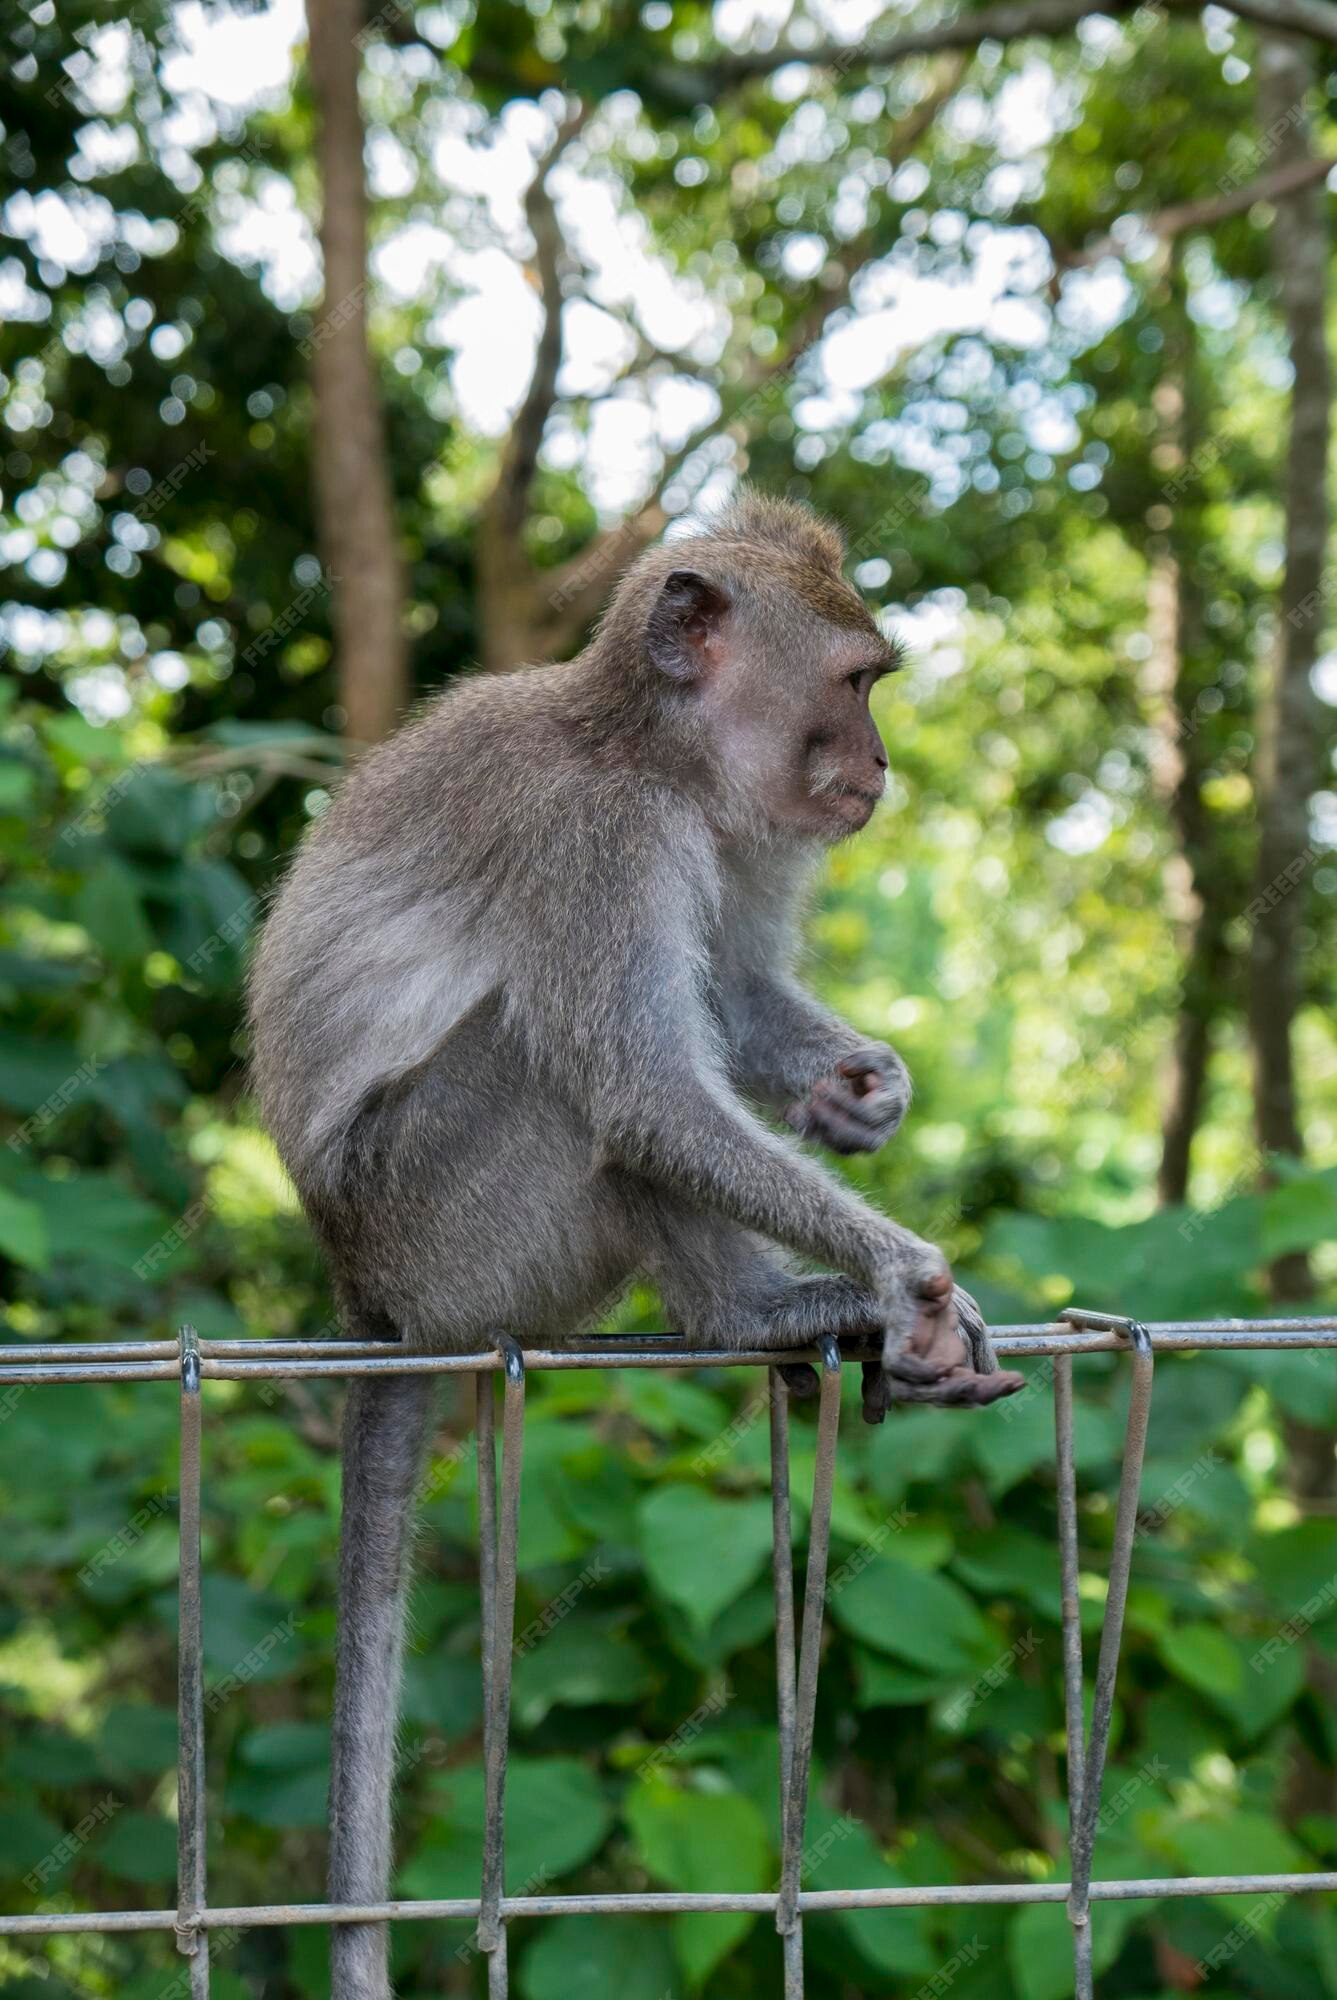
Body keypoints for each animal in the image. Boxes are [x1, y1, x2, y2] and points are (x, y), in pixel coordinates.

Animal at [248, 488, 1024, 2000]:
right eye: (857, 683)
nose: (882, 765)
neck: (643, 749)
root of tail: (363, 1289)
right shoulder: (605, 842)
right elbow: (647, 1091)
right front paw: (905, 1275)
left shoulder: (722, 834)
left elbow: (734, 992)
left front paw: (859, 1088)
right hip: (450, 1229)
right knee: (568, 1073)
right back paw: (755, 1313)